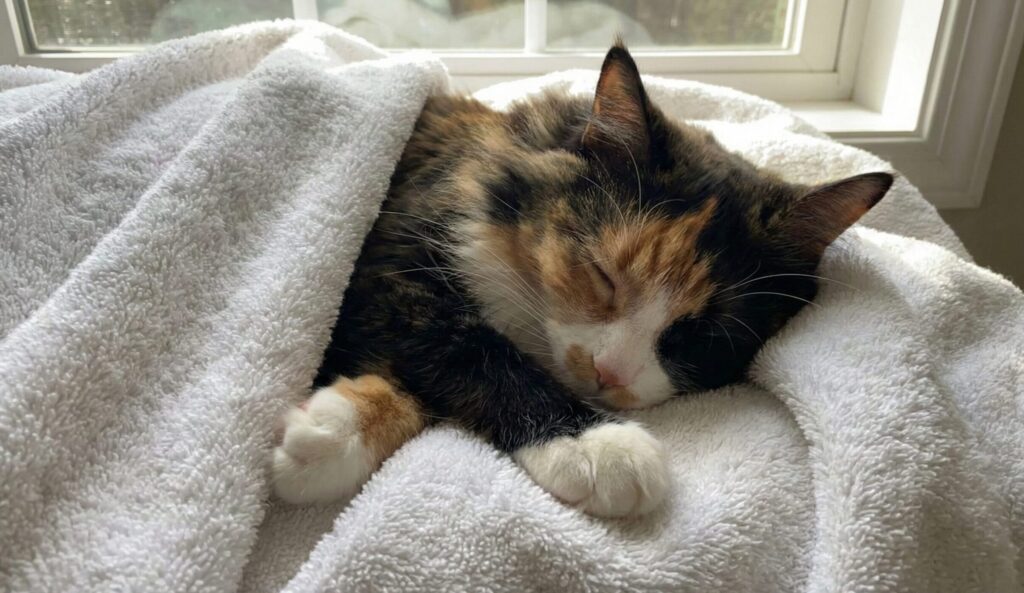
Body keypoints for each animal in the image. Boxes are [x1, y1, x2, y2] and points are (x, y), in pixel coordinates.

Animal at [270, 43, 893, 517]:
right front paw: (595, 443)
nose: (607, 373)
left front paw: (332, 432)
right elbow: (465, 347)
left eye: (702, 337)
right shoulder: (386, 273)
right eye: (601, 274)